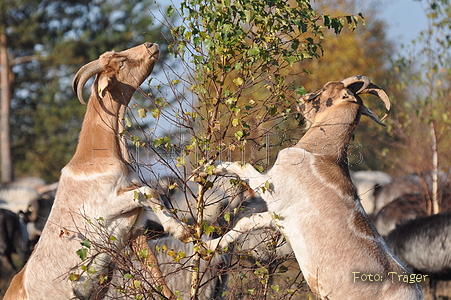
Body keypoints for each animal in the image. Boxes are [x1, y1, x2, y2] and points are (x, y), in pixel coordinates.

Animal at [5, 42, 192, 300]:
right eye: (121, 62)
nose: (150, 45)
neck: (96, 157)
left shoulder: (133, 229)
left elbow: (153, 266)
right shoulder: (108, 208)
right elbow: (148, 191)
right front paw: (181, 231)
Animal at [207, 77, 426, 300]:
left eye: (325, 89)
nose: (303, 99)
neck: (321, 154)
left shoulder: (271, 186)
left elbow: (241, 166)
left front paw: (206, 168)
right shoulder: (278, 218)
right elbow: (245, 223)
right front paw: (204, 244)